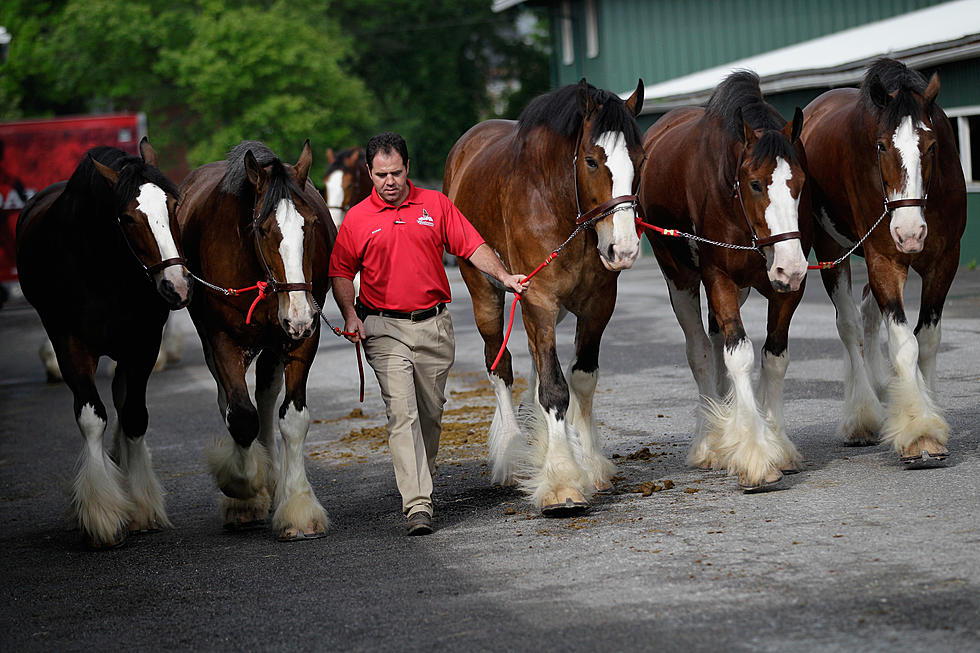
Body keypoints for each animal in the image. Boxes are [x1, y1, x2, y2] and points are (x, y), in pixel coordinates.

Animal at [15, 140, 190, 548]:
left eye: (173, 204)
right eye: (127, 218)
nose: (175, 285)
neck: (103, 269)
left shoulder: (142, 345)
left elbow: (134, 417)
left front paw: (140, 506)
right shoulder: (71, 345)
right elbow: (92, 417)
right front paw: (103, 514)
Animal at [178, 139, 338, 540]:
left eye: (311, 224)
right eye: (264, 229)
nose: (298, 313)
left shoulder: (301, 339)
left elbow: (291, 419)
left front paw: (297, 506)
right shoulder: (222, 339)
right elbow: (241, 417)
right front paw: (243, 492)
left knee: (265, 398)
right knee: (232, 403)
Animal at [446, 77, 648, 516]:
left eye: (640, 159)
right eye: (591, 160)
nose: (623, 249)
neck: (557, 202)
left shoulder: (597, 305)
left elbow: (581, 380)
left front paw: (589, 464)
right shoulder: (537, 298)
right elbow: (554, 388)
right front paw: (562, 484)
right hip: (485, 294)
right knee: (499, 364)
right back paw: (510, 455)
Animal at [636, 70, 812, 488]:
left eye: (799, 182)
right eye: (755, 183)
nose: (791, 266)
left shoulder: (785, 291)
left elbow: (774, 357)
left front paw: (776, 442)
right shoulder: (719, 278)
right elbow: (740, 355)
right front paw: (757, 455)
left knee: (716, 340)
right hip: (680, 278)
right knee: (700, 350)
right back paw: (708, 442)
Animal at [800, 57, 968, 464]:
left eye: (932, 145)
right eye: (880, 146)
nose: (909, 233)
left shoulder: (944, 262)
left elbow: (928, 339)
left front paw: (926, 411)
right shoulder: (884, 261)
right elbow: (905, 343)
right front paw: (919, 430)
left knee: (867, 314)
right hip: (832, 253)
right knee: (849, 325)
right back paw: (861, 416)